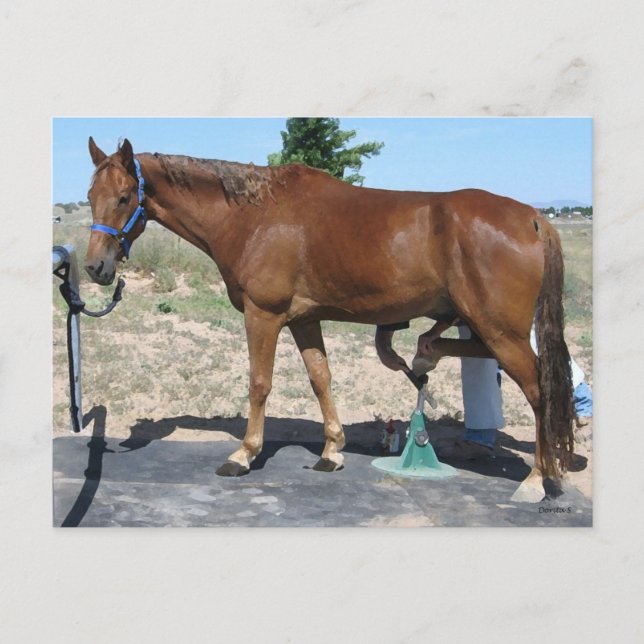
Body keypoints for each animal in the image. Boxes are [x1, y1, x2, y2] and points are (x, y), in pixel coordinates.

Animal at [84, 137, 575, 502]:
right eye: (90, 197)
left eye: (125, 197)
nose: (95, 268)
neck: (254, 216)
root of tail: (533, 218)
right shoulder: (303, 320)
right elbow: (321, 378)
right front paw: (332, 450)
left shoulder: (264, 316)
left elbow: (259, 383)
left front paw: (244, 454)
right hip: (486, 328)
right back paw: (424, 355)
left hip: (503, 333)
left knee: (540, 391)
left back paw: (537, 478)